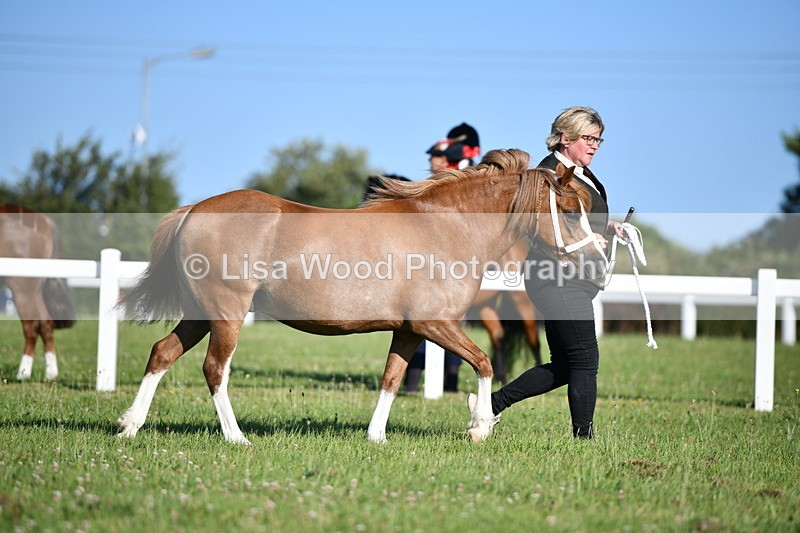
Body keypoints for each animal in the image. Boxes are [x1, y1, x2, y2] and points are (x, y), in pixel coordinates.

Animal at [0, 204, 76, 381]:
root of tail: (45, 221)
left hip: (23, 287)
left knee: (32, 327)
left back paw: (23, 373)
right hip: (34, 290)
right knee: (46, 324)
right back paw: (50, 373)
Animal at [118, 148, 605, 444]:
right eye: (569, 211)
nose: (597, 260)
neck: (446, 227)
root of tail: (192, 211)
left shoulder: (410, 330)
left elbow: (392, 379)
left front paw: (376, 436)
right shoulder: (436, 324)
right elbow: (483, 363)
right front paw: (480, 426)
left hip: (200, 314)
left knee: (161, 353)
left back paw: (129, 425)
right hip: (226, 314)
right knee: (215, 369)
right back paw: (236, 436)